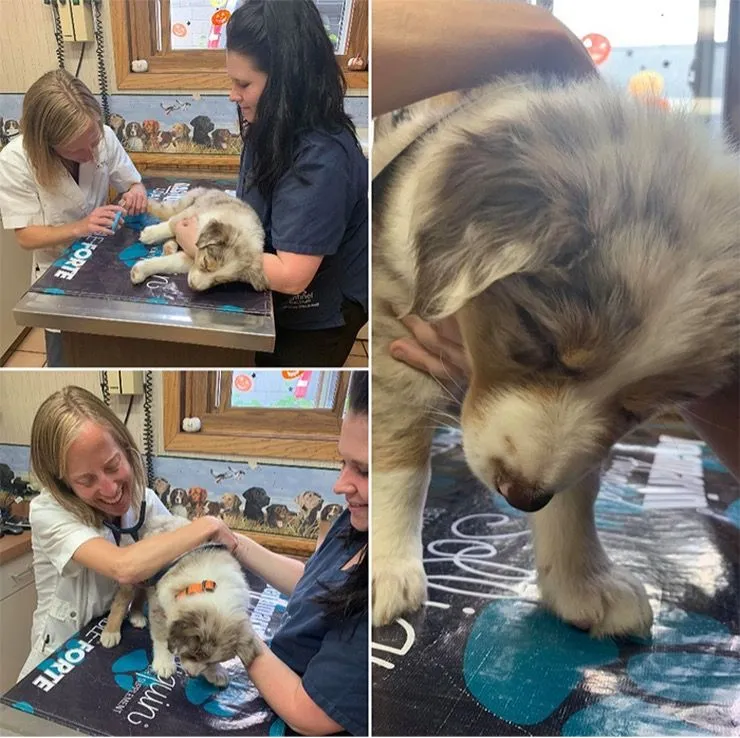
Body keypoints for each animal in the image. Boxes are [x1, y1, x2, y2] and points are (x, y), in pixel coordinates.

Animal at [372, 77, 740, 636]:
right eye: (540, 339)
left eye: (639, 409)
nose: (520, 496)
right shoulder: (391, 326)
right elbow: (399, 457)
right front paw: (386, 568)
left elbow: (575, 489)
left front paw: (582, 583)